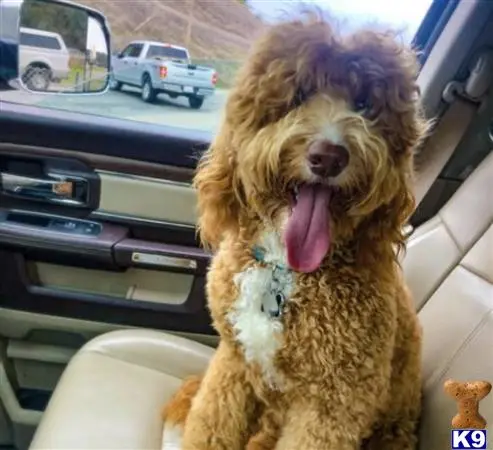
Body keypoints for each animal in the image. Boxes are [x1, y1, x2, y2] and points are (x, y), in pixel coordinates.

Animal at [160, 13, 426, 450]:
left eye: (365, 104)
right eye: (298, 94)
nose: (329, 156)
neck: (286, 270)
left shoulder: (335, 404)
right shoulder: (234, 361)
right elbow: (211, 423)